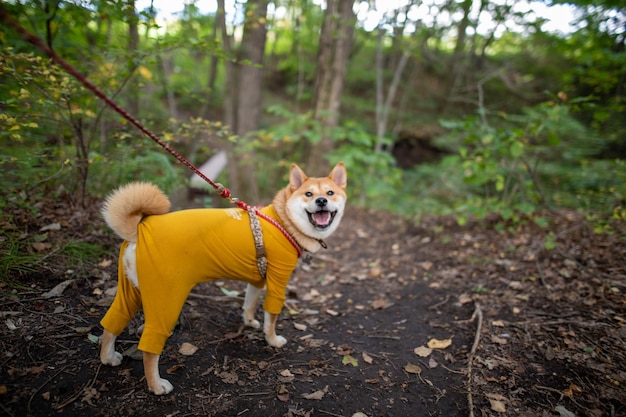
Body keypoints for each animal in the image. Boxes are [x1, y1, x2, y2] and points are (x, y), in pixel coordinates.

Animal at [97, 162, 346, 394]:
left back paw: (108, 358)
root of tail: (138, 229)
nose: (321, 201)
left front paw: (249, 322)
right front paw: (273, 340)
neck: (282, 221)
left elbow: (249, 303)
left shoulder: (257, 280)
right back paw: (156, 385)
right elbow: (271, 316)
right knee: (149, 347)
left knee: (112, 323)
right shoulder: (278, 281)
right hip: (166, 299)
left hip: (131, 293)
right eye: (308, 194)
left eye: (330, 193)